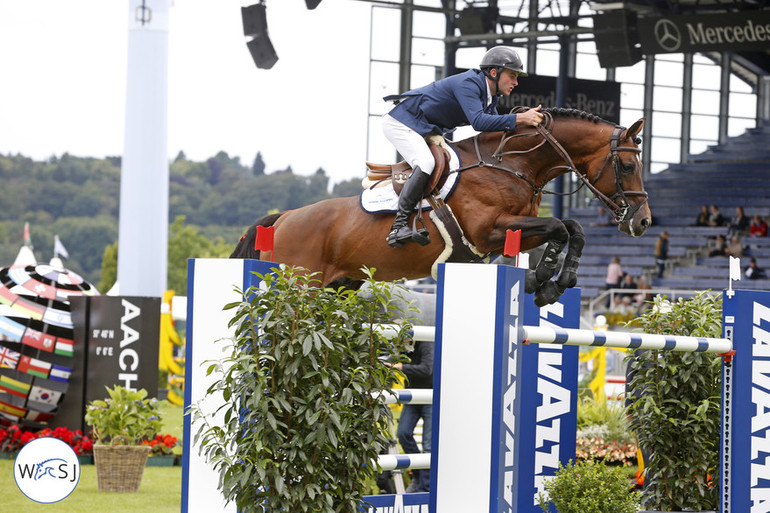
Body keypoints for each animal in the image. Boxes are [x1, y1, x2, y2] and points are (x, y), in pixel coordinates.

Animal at [231, 108, 652, 306]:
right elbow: (560, 228)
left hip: (340, 285)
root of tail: (283, 219)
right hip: (302, 283)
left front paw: (555, 283)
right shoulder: (489, 231)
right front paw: (542, 282)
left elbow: (571, 229)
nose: (644, 223)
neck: (510, 164)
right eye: (627, 166)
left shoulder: (514, 229)